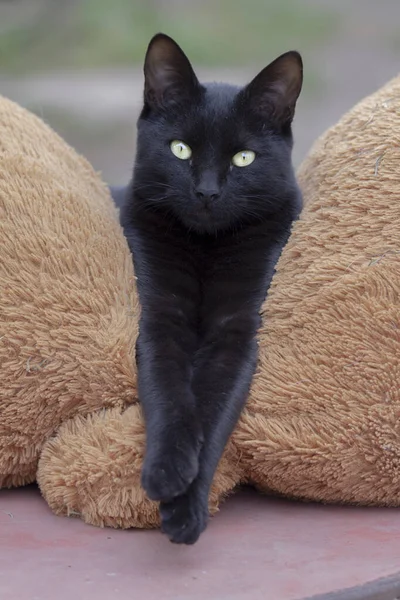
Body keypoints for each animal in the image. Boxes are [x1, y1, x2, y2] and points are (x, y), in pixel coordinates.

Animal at [114, 35, 302, 548]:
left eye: (243, 158)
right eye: (180, 149)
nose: (206, 192)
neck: (206, 248)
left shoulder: (236, 331)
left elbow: (215, 413)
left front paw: (187, 508)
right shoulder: (161, 317)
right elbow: (169, 394)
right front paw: (165, 473)